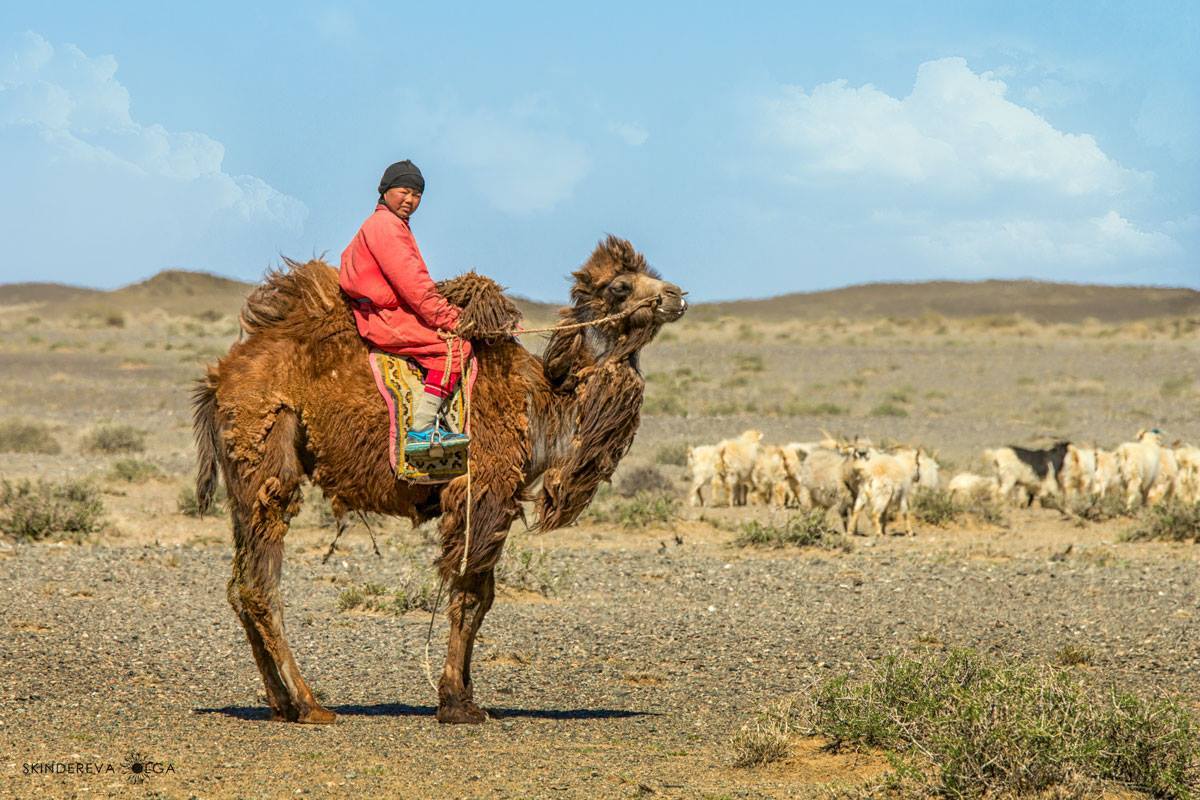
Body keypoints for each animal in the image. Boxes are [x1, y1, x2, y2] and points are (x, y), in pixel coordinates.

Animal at [193, 235, 691, 724]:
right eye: (621, 287)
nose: (676, 296)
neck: (543, 406)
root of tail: (218, 382)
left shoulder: (495, 499)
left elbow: (482, 597)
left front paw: (466, 696)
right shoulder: (484, 491)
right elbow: (469, 595)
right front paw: (455, 703)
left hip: (243, 488)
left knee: (240, 586)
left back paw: (280, 703)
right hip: (267, 460)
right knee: (263, 585)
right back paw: (309, 704)